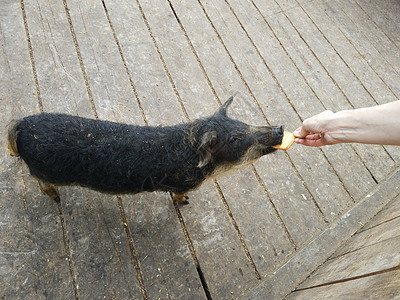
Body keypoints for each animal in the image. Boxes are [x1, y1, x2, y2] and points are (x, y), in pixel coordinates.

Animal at [6, 97, 282, 203]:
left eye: (241, 123)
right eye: (235, 139)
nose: (279, 128)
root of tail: (21, 124)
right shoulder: (181, 184)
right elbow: (178, 196)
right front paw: (185, 203)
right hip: (42, 170)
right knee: (38, 181)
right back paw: (56, 198)